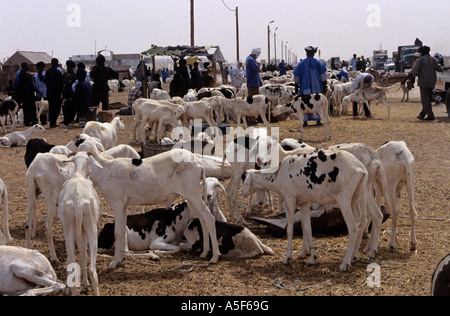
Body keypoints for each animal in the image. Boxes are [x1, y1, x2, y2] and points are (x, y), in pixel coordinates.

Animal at [57, 153, 100, 296]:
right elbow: (84, 255)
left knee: (73, 267)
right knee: (93, 271)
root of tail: (78, 201)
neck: (78, 175)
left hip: (69, 229)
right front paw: (85, 284)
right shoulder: (84, 233)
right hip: (91, 228)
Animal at [82, 149, 221, 268]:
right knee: (203, 220)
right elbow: (122, 231)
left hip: (193, 193)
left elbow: (118, 232)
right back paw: (204, 252)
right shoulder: (123, 205)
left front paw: (114, 262)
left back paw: (214, 257)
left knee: (209, 218)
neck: (105, 170)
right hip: (192, 197)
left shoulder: (117, 203)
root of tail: (199, 164)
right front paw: (120, 259)